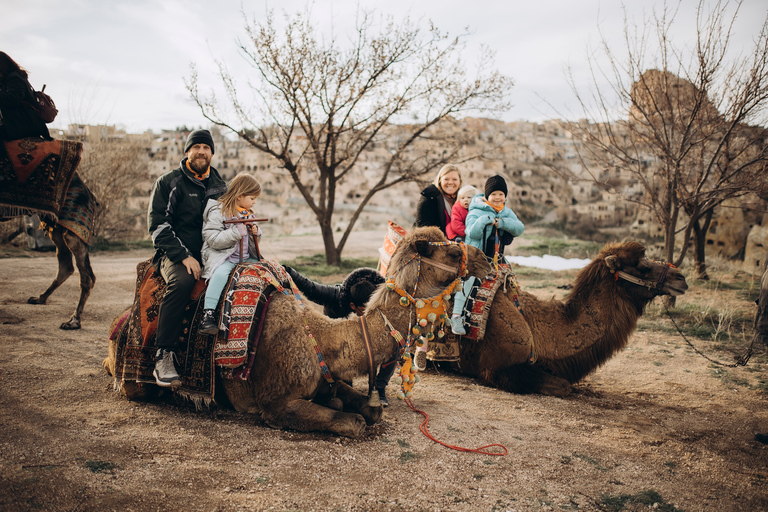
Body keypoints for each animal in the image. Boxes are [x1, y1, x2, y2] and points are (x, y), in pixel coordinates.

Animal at [105, 227, 476, 436]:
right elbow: (354, 422)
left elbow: (370, 409)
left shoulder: (327, 377)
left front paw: (345, 400)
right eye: (452, 251)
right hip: (136, 380)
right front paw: (343, 411)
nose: (482, 259)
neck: (320, 340)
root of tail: (120, 324)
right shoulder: (277, 404)